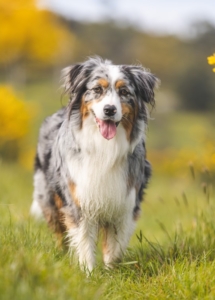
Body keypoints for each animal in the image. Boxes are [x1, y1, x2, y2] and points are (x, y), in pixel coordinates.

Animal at [29, 56, 158, 272]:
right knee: (59, 232)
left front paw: (111, 272)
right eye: (97, 89)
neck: (104, 146)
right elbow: (84, 240)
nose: (110, 110)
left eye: (124, 92)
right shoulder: (79, 199)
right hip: (48, 197)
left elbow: (114, 245)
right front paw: (88, 273)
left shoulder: (125, 202)